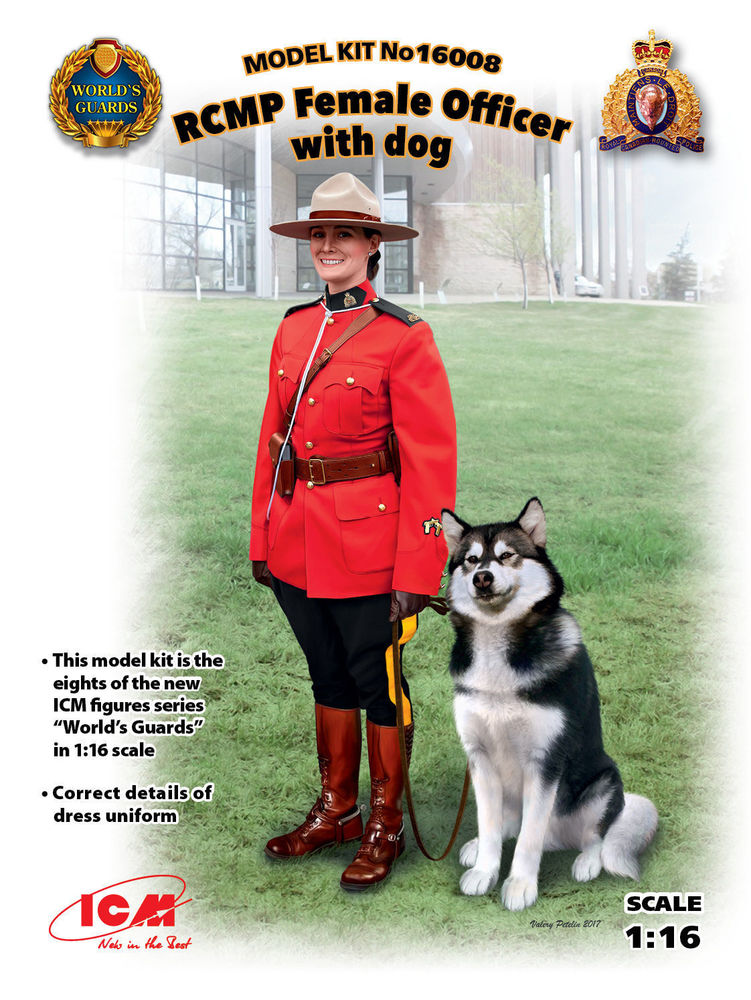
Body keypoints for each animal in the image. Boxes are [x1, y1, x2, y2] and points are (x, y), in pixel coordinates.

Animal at [444, 504, 656, 912]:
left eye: (507, 555)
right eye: (471, 560)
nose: (482, 578)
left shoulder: (545, 761)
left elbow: (529, 839)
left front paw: (520, 886)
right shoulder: (479, 757)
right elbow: (489, 825)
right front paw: (484, 870)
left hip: (604, 782)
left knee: (595, 836)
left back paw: (588, 861)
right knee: (504, 824)